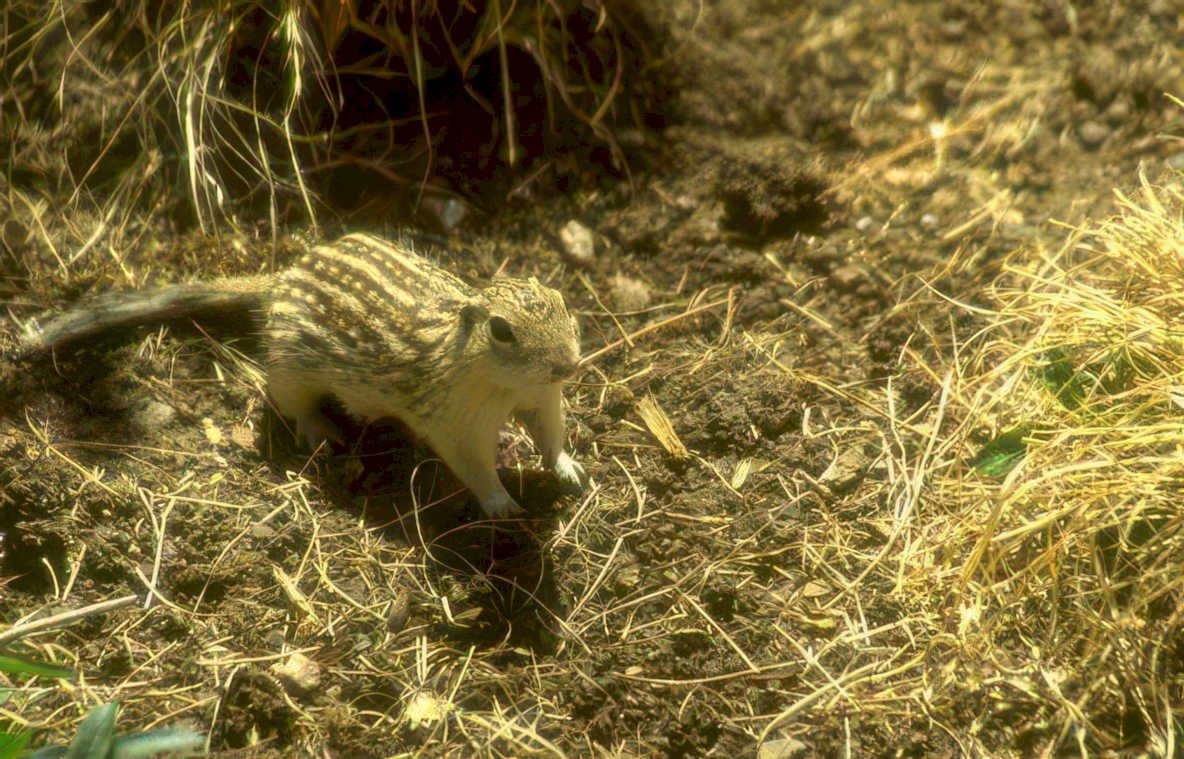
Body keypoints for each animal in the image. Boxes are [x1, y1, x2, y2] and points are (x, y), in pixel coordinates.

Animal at [20, 233, 587, 517]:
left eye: (563, 302)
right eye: (501, 330)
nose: (569, 365)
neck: (504, 384)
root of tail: (280, 279)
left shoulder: (545, 399)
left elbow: (551, 435)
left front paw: (568, 468)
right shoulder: (456, 423)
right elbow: (474, 466)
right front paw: (503, 505)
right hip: (292, 369)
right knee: (285, 400)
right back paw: (321, 431)